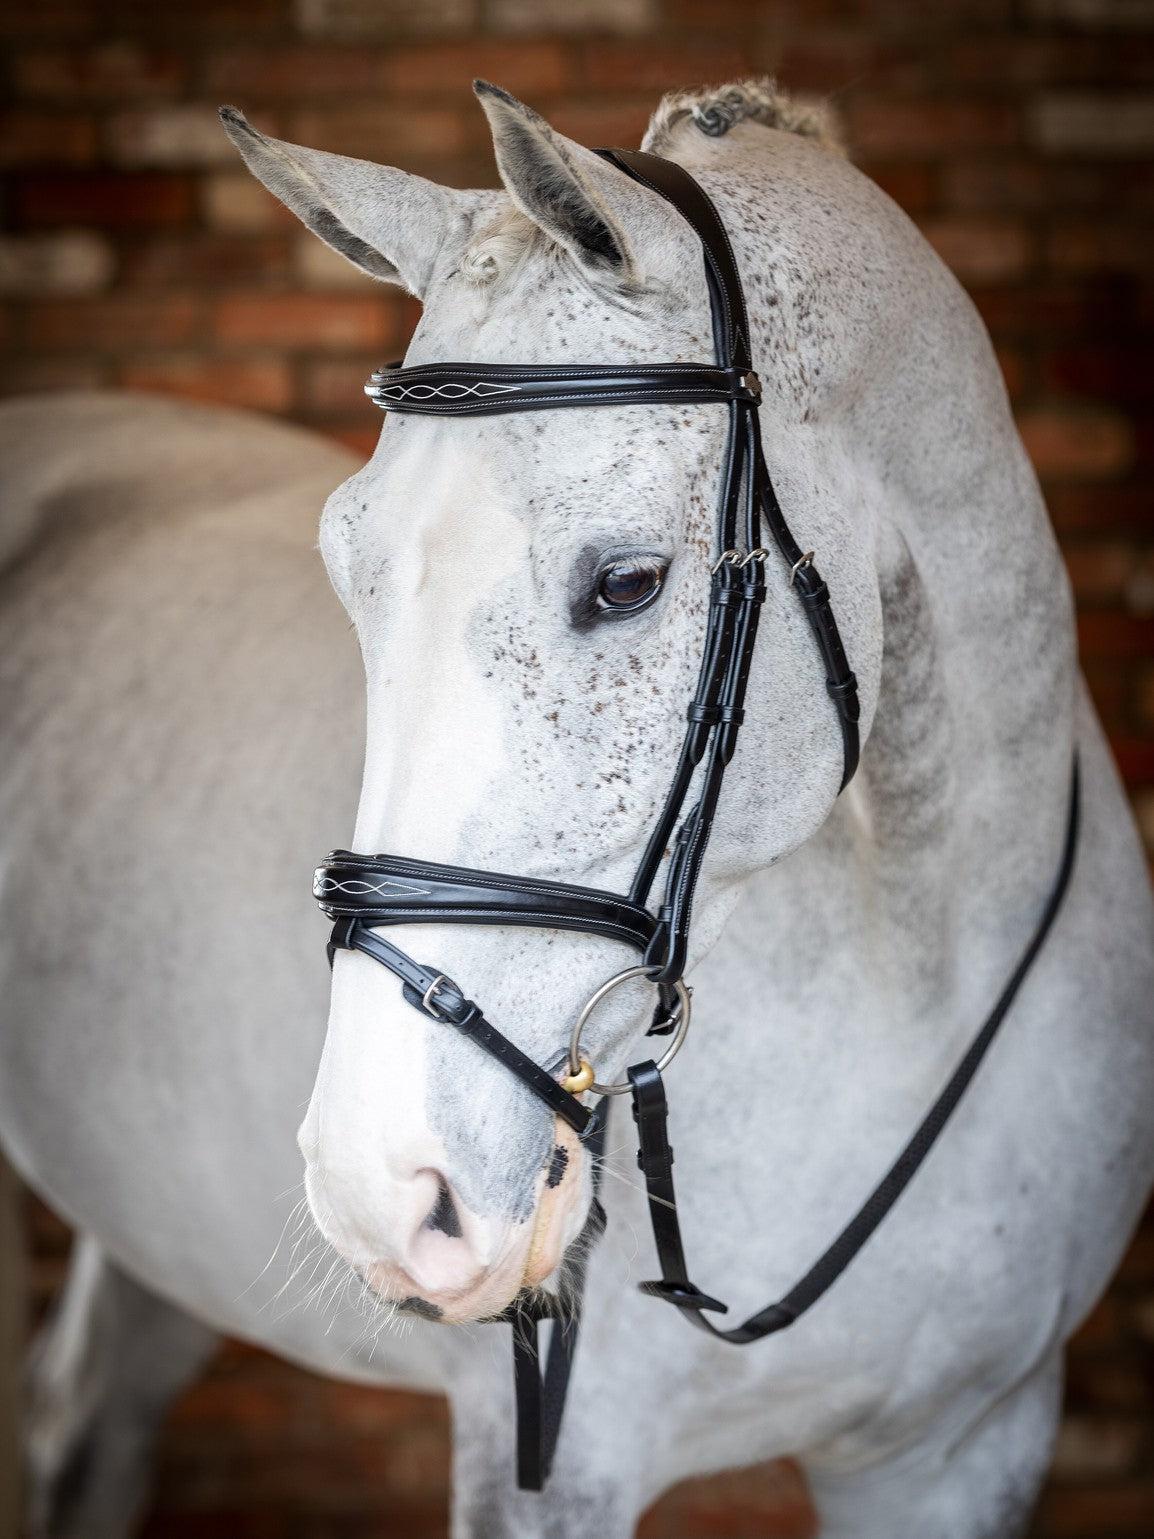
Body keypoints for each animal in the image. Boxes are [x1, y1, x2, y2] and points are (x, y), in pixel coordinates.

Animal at [1, 77, 1151, 1539]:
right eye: (345, 568)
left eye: (627, 582)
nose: (383, 1189)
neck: (913, 973)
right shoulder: (545, 1466)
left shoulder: (966, 1444)